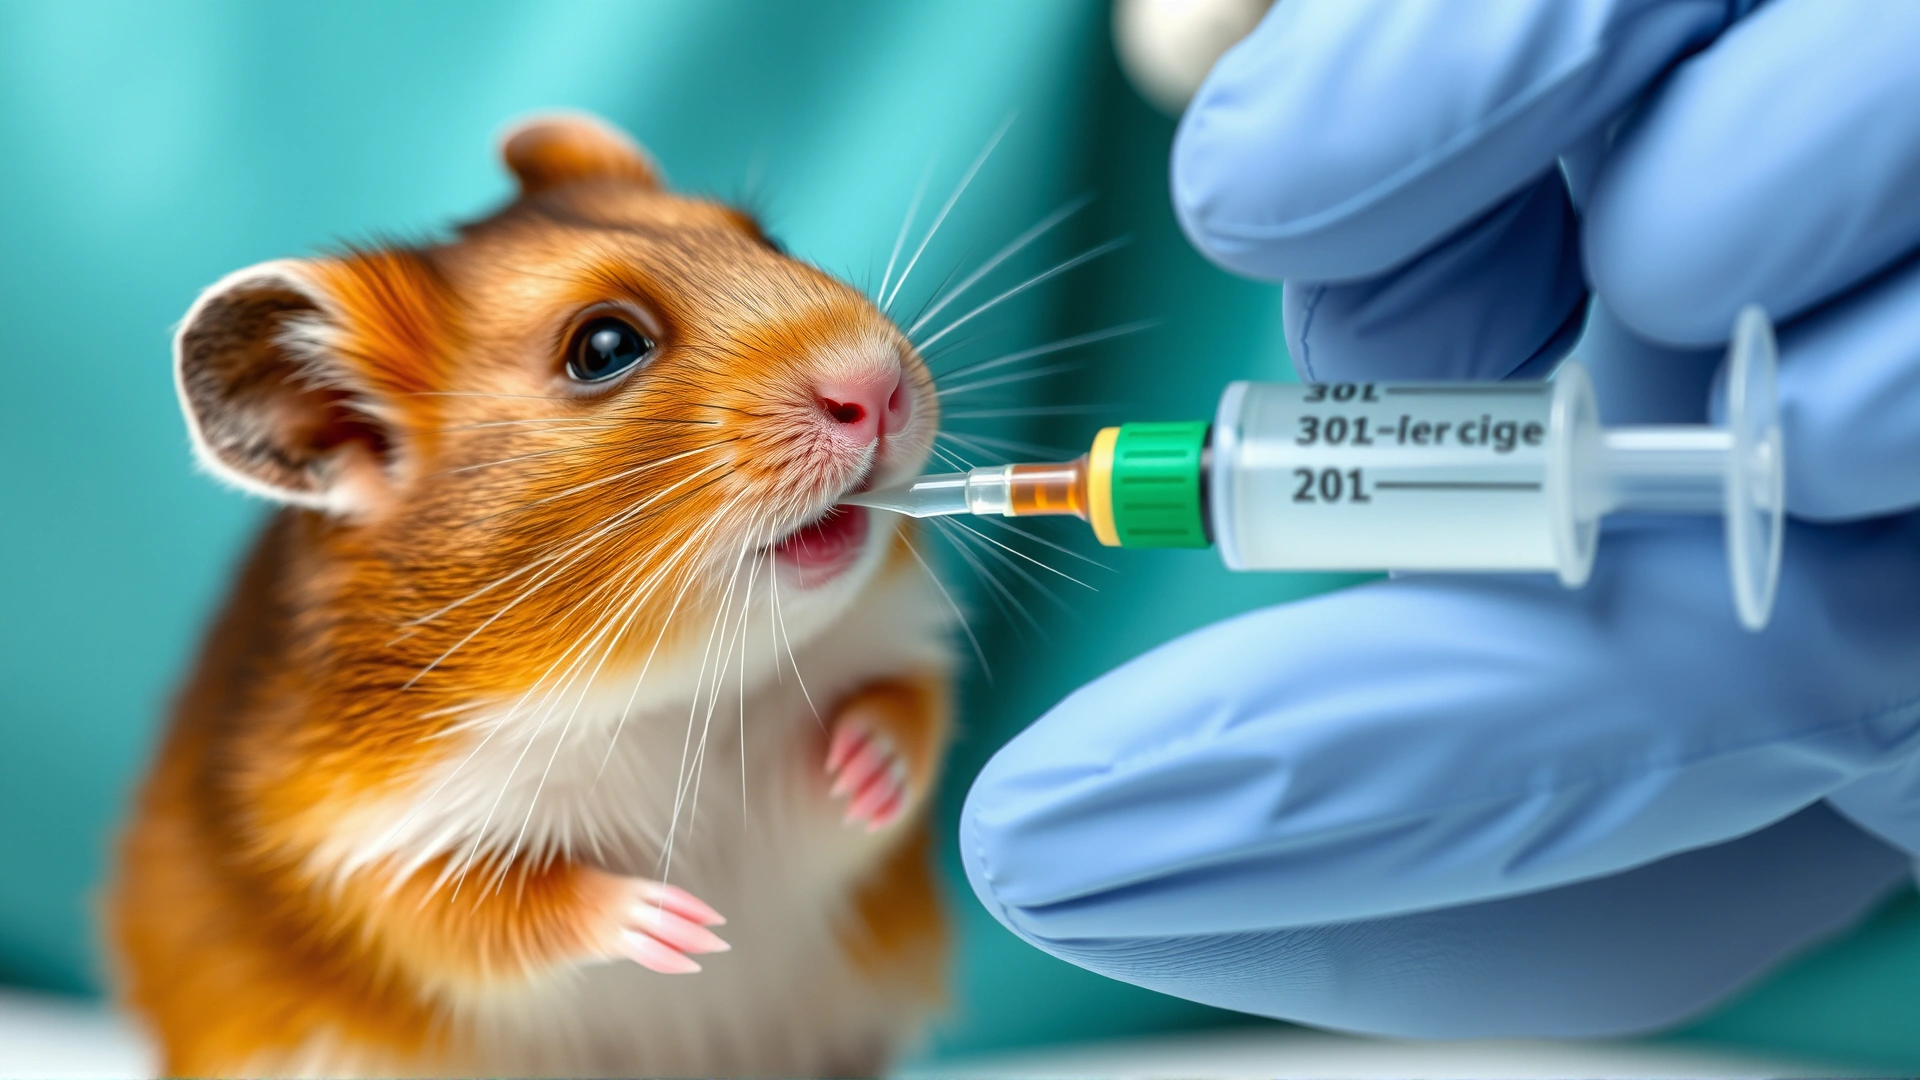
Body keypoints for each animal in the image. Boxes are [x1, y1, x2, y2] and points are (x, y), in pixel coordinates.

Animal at [106, 113, 956, 1078]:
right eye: (604, 348)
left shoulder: (881, 677)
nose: (879, 389)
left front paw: (862, 770)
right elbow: (494, 913)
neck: (674, 693)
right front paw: (682, 928)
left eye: (767, 239)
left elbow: (904, 723)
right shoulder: (374, 852)